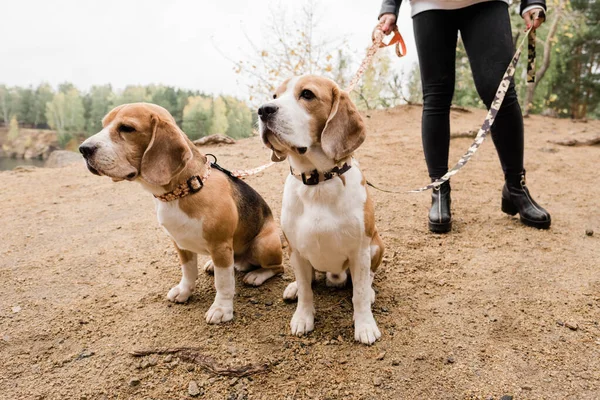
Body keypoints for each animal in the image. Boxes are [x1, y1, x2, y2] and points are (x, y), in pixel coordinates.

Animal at [79, 103, 284, 324]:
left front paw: (221, 308)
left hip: (263, 245)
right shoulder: (180, 243)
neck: (186, 188)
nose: (83, 149)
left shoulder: (220, 245)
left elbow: (223, 283)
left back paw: (257, 275)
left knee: (277, 267)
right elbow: (188, 271)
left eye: (127, 128)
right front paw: (184, 292)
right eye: (103, 125)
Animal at [258, 76, 384, 346]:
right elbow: (307, 291)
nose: (263, 110)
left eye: (307, 94)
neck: (317, 182)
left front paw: (365, 325)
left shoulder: (360, 252)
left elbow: (358, 294)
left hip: (377, 245)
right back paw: (294, 287)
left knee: (368, 278)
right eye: (275, 96)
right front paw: (303, 317)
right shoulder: (296, 250)